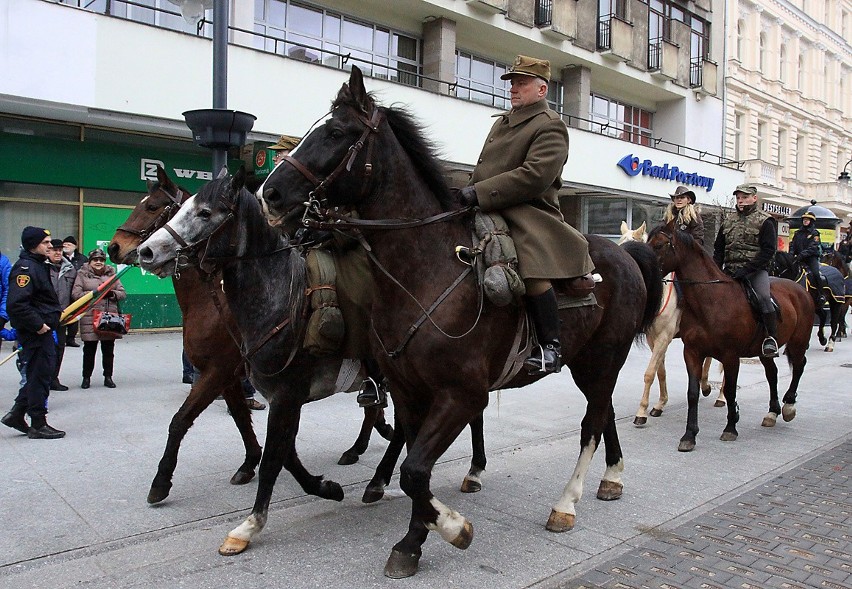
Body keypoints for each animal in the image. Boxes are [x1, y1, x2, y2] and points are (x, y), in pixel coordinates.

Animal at [107, 167, 396, 506]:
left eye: (153, 207)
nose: (120, 248)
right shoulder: (230, 377)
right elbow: (241, 417)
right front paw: (250, 463)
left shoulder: (220, 372)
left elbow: (181, 420)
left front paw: (161, 481)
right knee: (376, 408)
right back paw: (360, 447)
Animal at [256, 66, 664, 576]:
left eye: (336, 132)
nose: (269, 193)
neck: (424, 270)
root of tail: (625, 253)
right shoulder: (409, 392)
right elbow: (414, 468)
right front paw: (413, 541)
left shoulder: (462, 395)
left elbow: (415, 471)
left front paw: (452, 528)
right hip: (590, 364)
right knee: (603, 412)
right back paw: (612, 477)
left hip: (603, 358)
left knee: (591, 422)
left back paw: (566, 504)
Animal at [652, 220, 812, 450]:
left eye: (659, 245)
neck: (711, 300)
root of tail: (800, 289)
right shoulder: (692, 353)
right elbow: (693, 393)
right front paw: (689, 435)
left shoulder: (730, 356)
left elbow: (729, 390)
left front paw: (730, 427)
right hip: (763, 351)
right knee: (772, 373)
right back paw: (772, 413)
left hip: (798, 342)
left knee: (799, 366)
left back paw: (788, 406)